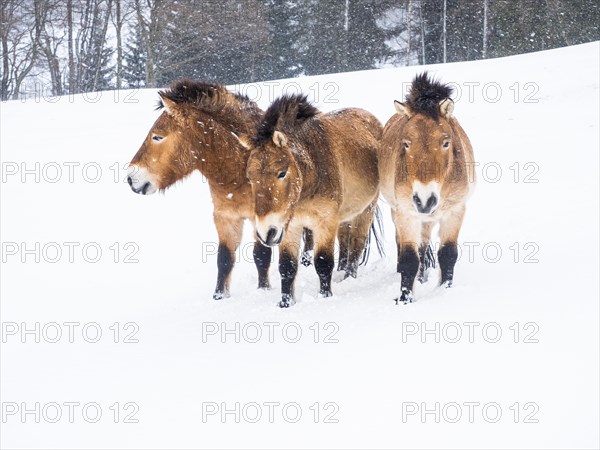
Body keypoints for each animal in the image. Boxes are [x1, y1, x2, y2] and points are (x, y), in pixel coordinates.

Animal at [127, 80, 308, 298]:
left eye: (157, 137)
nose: (131, 177)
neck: (237, 166)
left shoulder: (263, 219)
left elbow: (261, 255)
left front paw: (263, 288)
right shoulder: (225, 218)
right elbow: (224, 259)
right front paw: (220, 296)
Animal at [237, 94, 382, 306]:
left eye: (282, 173)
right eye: (250, 177)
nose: (266, 232)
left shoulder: (325, 222)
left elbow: (323, 262)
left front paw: (325, 296)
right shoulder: (289, 226)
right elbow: (287, 267)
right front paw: (286, 303)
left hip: (366, 211)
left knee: (356, 245)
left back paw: (349, 277)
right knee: (345, 243)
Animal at [382, 74, 476, 304]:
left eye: (445, 142)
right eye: (406, 143)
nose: (424, 200)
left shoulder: (455, 211)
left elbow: (448, 254)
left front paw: (445, 289)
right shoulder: (406, 214)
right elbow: (408, 258)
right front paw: (405, 298)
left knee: (424, 246)